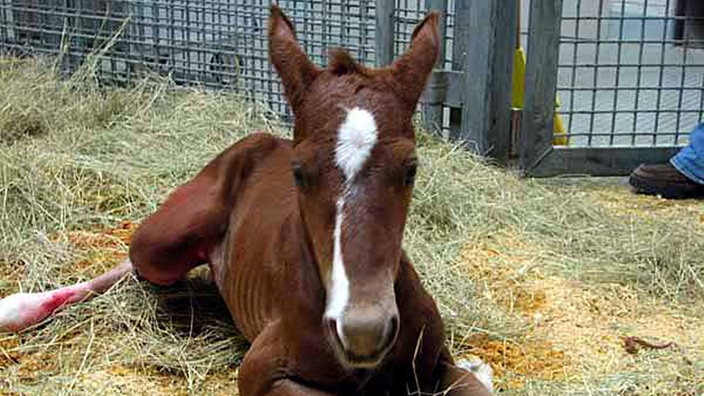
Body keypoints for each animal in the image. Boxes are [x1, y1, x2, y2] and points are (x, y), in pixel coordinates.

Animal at [0, 6, 492, 396]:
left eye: (411, 169)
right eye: (299, 172)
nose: (363, 331)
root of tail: (260, 141)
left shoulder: (434, 362)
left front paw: (477, 368)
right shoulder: (261, 370)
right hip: (163, 241)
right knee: (137, 263)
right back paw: (18, 307)